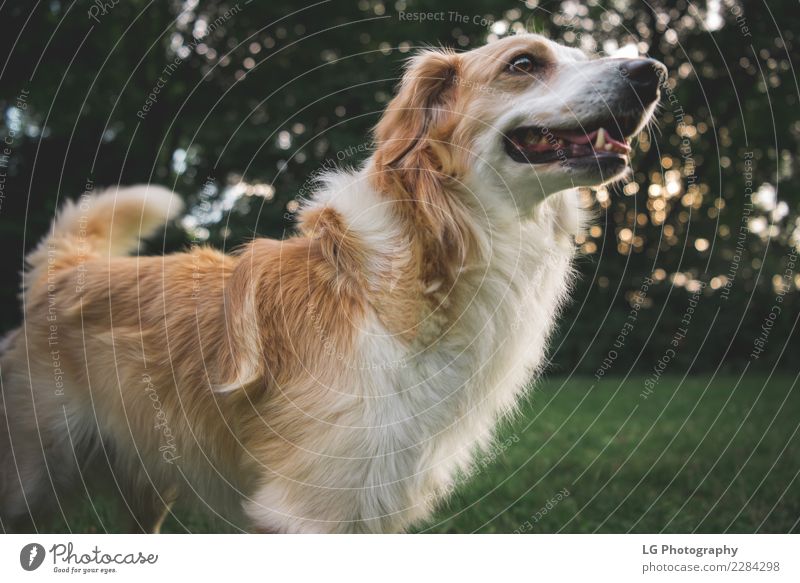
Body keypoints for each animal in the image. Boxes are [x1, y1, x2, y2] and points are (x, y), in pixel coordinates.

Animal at [0, 33, 664, 532]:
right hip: (31, 479)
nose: (653, 71)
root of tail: (66, 269)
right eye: (524, 64)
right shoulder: (308, 507)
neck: (428, 259)